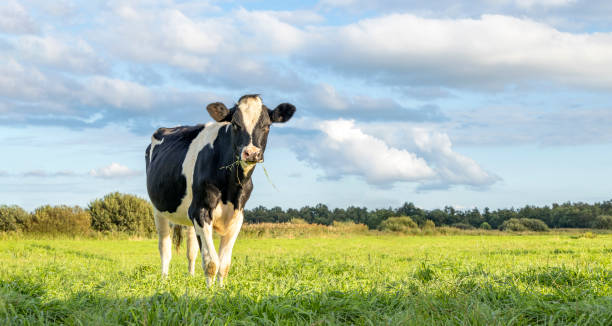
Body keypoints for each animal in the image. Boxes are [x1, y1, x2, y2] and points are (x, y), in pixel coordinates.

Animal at [145, 94, 296, 286]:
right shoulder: (200, 211)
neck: (231, 187)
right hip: (159, 210)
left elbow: (224, 264)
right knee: (165, 248)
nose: (251, 153)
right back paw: (164, 280)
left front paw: (221, 289)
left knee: (191, 250)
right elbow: (211, 262)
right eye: (235, 124)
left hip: (188, 214)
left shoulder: (237, 215)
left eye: (267, 125)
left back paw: (190, 277)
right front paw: (209, 291)